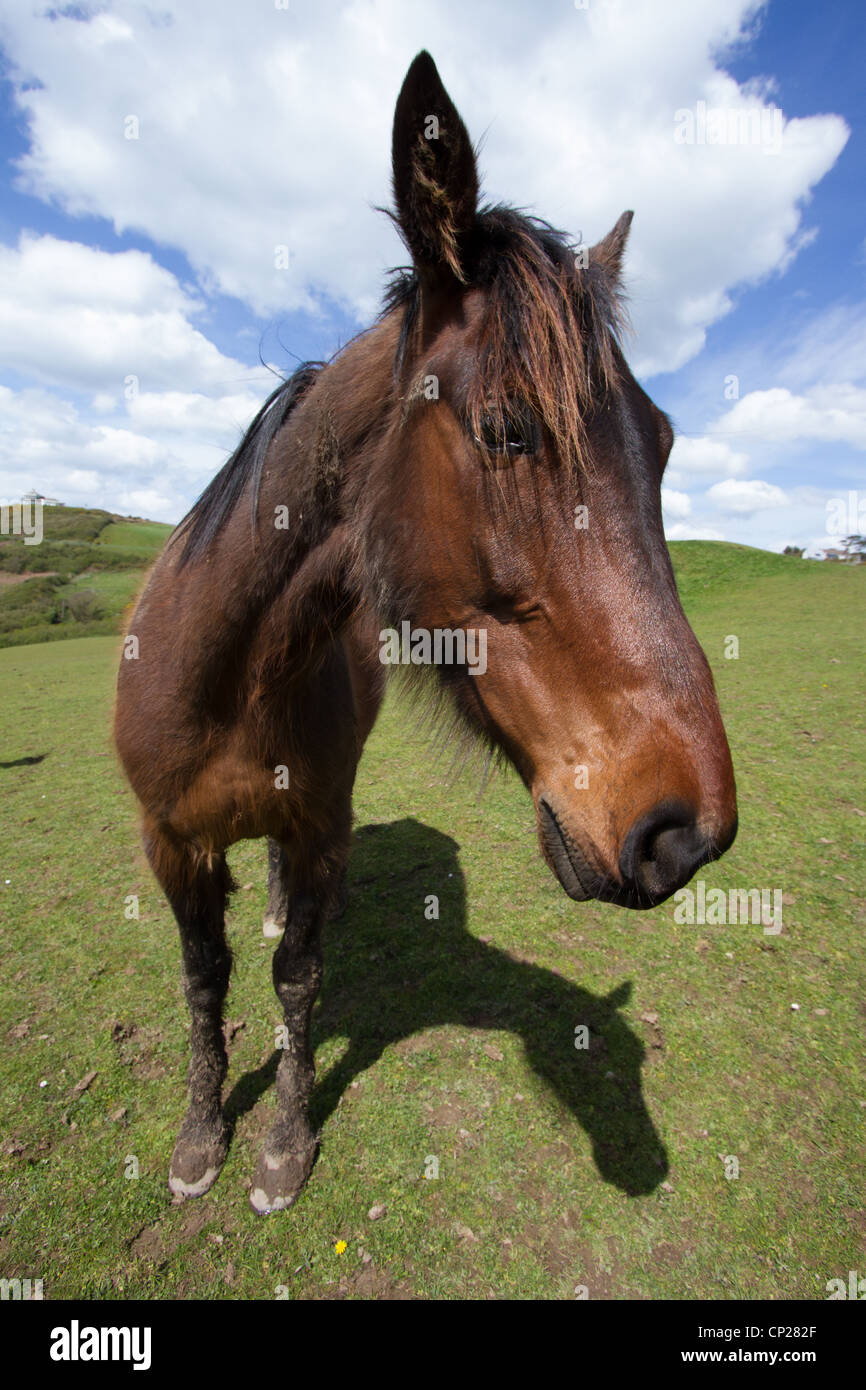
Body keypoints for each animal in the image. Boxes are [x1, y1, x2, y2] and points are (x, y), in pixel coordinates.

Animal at [114, 50, 737, 1214]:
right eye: (505, 428)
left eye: (666, 442)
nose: (687, 833)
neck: (229, 675)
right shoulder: (169, 845)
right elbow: (203, 979)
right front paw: (199, 1138)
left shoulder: (315, 828)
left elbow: (297, 979)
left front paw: (280, 1145)